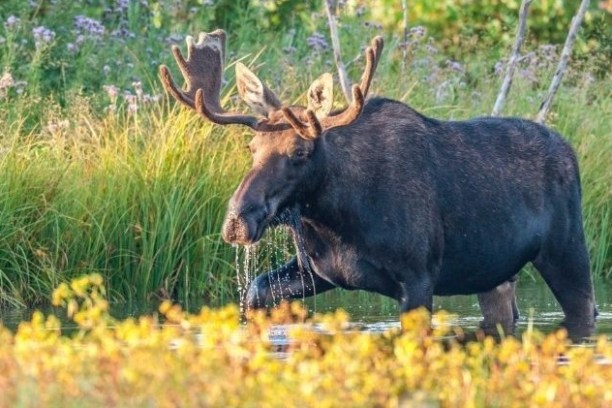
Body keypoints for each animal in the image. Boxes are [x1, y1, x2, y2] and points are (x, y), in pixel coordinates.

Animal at [160, 30, 596, 338]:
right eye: (251, 147)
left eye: (300, 151)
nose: (238, 219)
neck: (337, 216)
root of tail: (570, 150)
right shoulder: (318, 269)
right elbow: (256, 291)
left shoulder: (419, 275)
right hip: (495, 273)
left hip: (567, 248)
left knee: (585, 309)